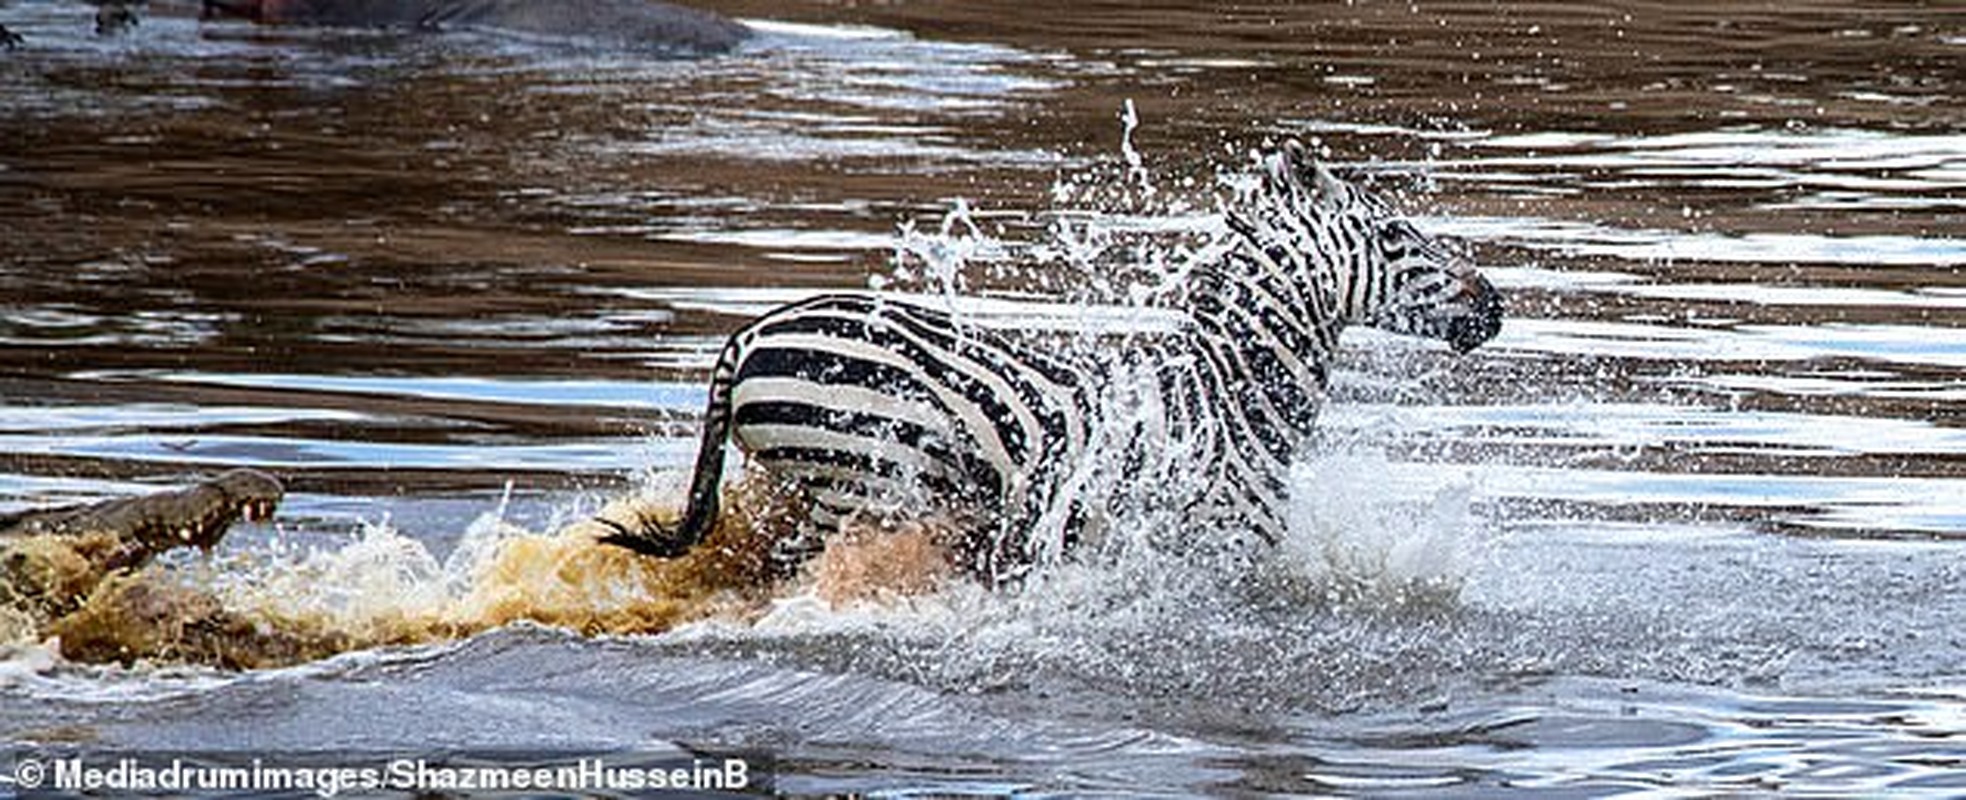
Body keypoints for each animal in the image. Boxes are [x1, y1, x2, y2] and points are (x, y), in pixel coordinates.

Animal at [597, 142, 1502, 581]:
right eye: (1397, 234)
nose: (1495, 305)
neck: (1231, 392)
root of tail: (749, 336)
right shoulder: (1221, 549)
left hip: (804, 489)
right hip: (856, 483)